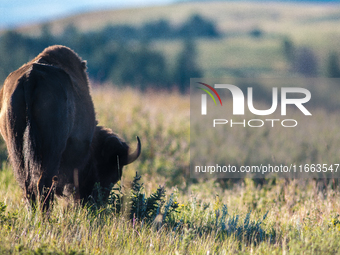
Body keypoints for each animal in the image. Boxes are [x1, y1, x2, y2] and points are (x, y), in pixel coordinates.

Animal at [0, 44, 141, 210]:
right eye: (113, 175)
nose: (97, 203)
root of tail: (30, 77)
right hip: (52, 148)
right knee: (44, 183)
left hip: (15, 147)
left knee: (27, 185)